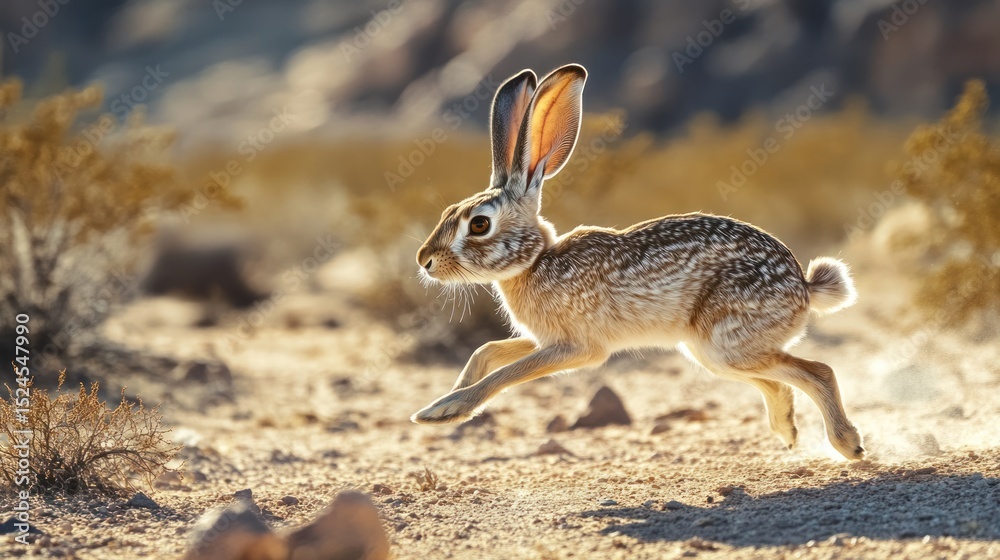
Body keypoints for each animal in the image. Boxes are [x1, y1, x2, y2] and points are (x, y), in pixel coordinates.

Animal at [411, 63, 864, 461]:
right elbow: (486, 351)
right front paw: (444, 400)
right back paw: (787, 429)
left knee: (818, 370)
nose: (425, 260)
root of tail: (803, 286)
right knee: (781, 381)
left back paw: (848, 446)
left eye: (479, 224)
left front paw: (444, 410)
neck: (536, 261)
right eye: (449, 211)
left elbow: (505, 374)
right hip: (710, 352)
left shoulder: (577, 347)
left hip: (726, 342)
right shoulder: (545, 339)